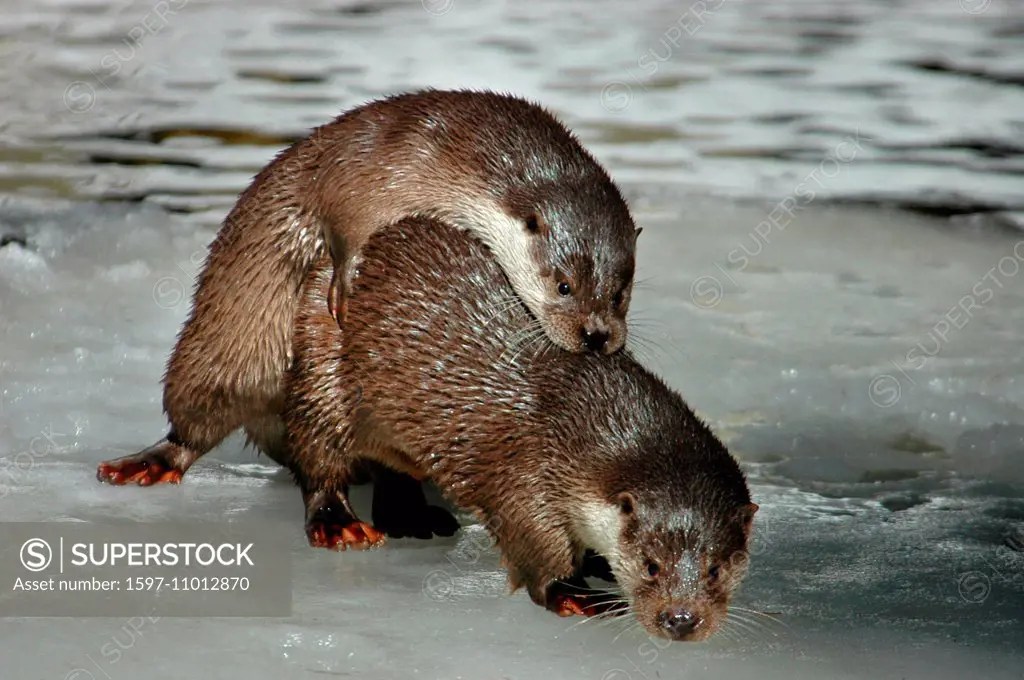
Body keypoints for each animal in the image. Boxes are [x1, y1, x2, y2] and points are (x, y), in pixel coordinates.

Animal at [97, 89, 638, 487]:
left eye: (620, 292)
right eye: (564, 285)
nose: (596, 335)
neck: (461, 156)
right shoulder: (381, 161)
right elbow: (341, 207)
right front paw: (349, 269)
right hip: (219, 347)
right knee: (196, 419)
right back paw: (152, 460)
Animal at [285, 217, 757, 642]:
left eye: (716, 569)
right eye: (650, 565)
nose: (681, 620)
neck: (585, 419)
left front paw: (595, 563)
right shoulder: (527, 472)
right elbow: (532, 539)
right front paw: (575, 593)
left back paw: (412, 516)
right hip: (323, 366)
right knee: (318, 453)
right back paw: (339, 523)